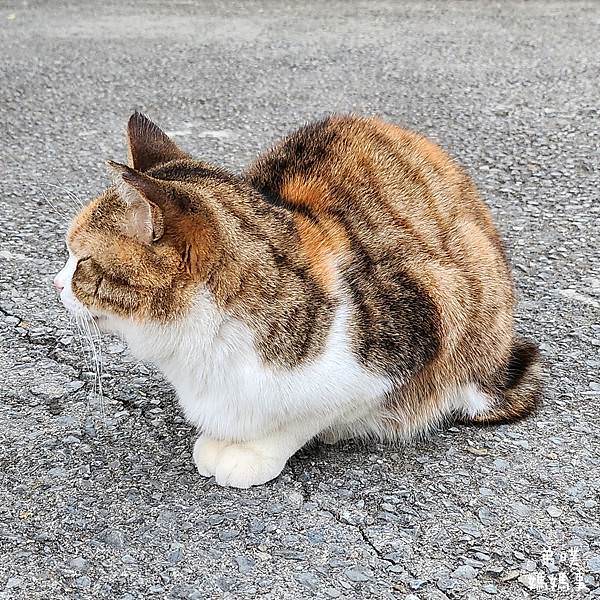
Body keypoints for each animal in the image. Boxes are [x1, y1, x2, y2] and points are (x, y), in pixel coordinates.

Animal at [55, 111, 544, 488]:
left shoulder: (421, 320)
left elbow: (302, 418)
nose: (55, 283)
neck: (200, 342)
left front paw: (252, 453)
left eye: (82, 260)